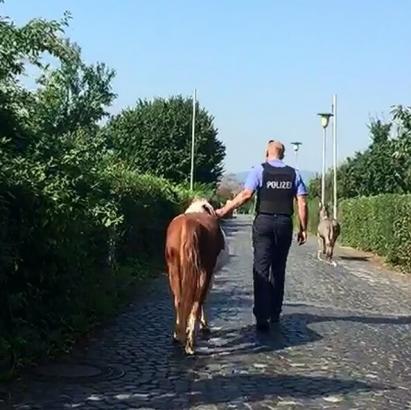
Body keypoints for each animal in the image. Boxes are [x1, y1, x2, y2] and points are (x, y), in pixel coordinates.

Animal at [164, 200, 229, 354]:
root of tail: (188, 224)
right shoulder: (210, 274)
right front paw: (204, 325)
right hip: (205, 271)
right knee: (197, 302)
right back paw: (190, 343)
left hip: (174, 269)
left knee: (179, 301)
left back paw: (178, 336)